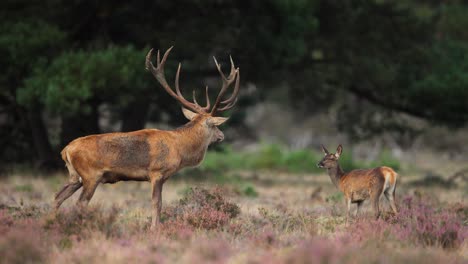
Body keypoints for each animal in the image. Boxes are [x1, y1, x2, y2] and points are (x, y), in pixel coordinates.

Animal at [53, 47, 239, 229]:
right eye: (215, 125)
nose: (221, 135)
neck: (180, 149)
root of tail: (66, 150)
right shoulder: (157, 172)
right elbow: (157, 204)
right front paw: (154, 230)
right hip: (91, 175)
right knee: (79, 203)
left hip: (74, 176)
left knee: (57, 197)